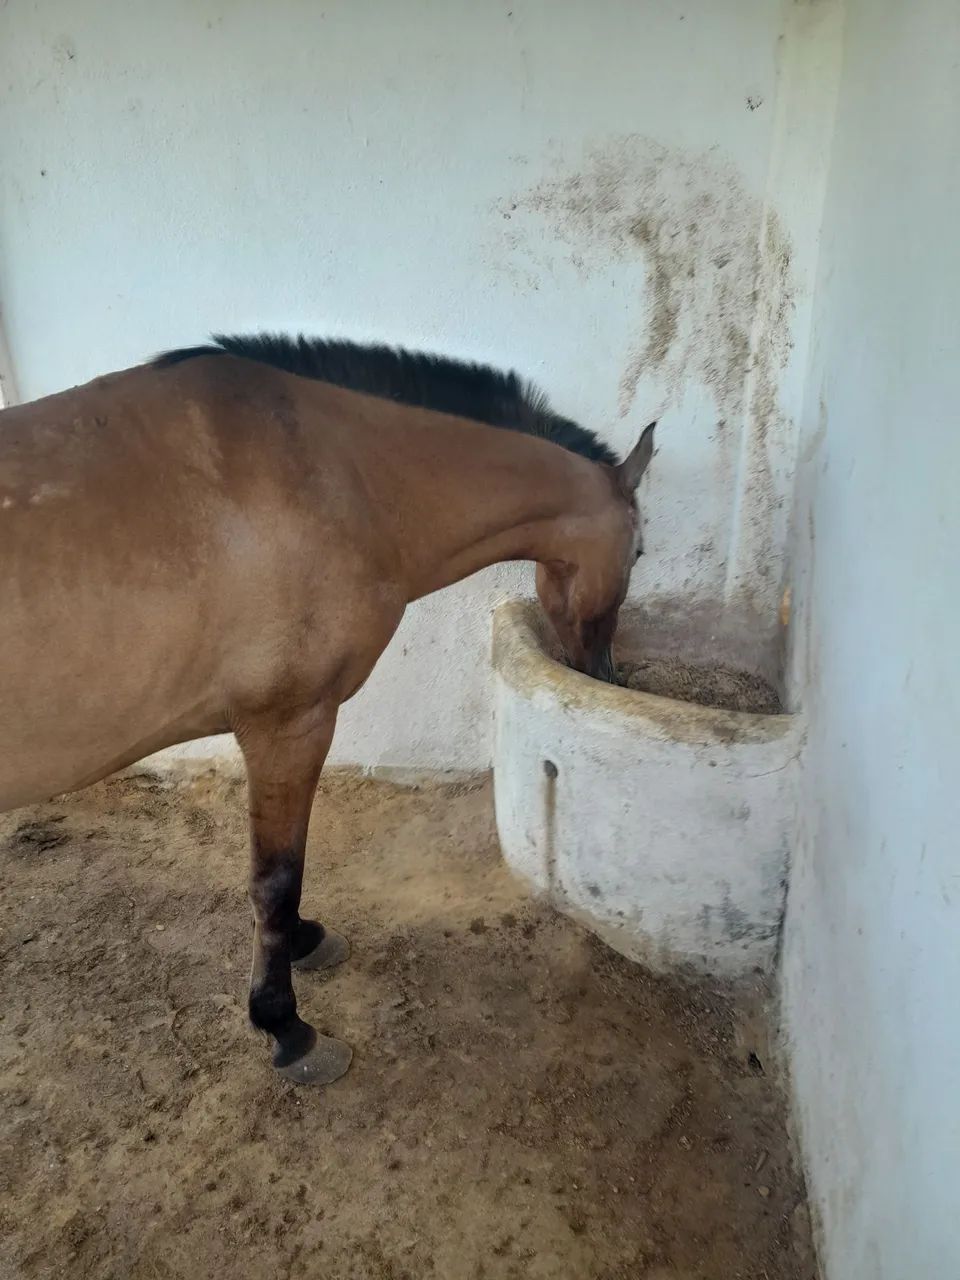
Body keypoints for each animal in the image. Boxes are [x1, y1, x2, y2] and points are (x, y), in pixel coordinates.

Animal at [0, 333, 655, 1084]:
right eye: (641, 550)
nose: (606, 673)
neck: (331, 475)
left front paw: (302, 943)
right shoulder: (290, 724)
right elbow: (276, 879)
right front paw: (284, 1023)